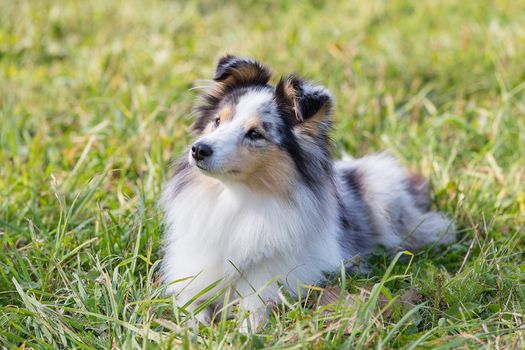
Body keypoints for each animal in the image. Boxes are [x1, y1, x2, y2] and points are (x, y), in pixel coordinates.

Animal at [161, 54, 454, 330]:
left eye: (255, 134)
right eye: (217, 121)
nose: (198, 150)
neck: (234, 198)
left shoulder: (269, 283)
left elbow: (254, 312)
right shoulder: (193, 276)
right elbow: (191, 308)